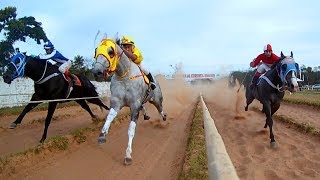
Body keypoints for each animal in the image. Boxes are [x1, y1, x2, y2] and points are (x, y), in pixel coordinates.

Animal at [92, 34, 166, 165]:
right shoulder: (116, 102)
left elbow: (131, 129)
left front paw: (128, 155)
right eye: (96, 51)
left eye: (110, 51)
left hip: (156, 99)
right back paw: (146, 115)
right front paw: (102, 135)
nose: (97, 72)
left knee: (160, 107)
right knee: (145, 106)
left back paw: (163, 117)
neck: (124, 76)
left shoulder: (134, 105)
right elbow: (109, 117)